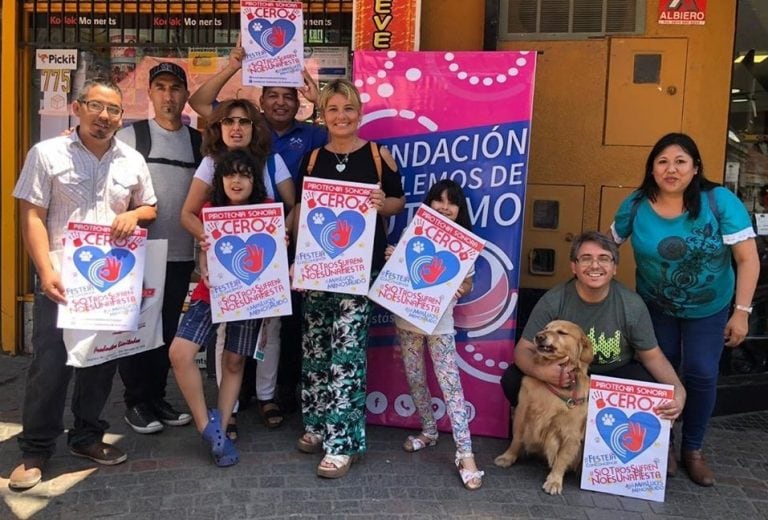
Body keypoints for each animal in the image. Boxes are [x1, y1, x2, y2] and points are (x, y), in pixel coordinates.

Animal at [492, 318, 592, 494]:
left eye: (562, 332)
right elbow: (516, 439)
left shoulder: (571, 432)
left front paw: (554, 480)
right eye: (546, 328)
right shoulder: (522, 412)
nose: (539, 336)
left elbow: (562, 457)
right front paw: (508, 457)